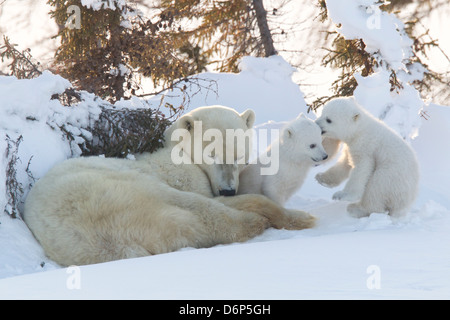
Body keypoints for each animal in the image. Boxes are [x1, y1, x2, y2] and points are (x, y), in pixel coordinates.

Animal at [22, 105, 314, 264]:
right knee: (204, 211)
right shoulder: (184, 176)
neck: (179, 151)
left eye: (238, 154)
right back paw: (283, 219)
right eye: (212, 154)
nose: (228, 189)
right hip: (121, 190)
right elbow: (208, 197)